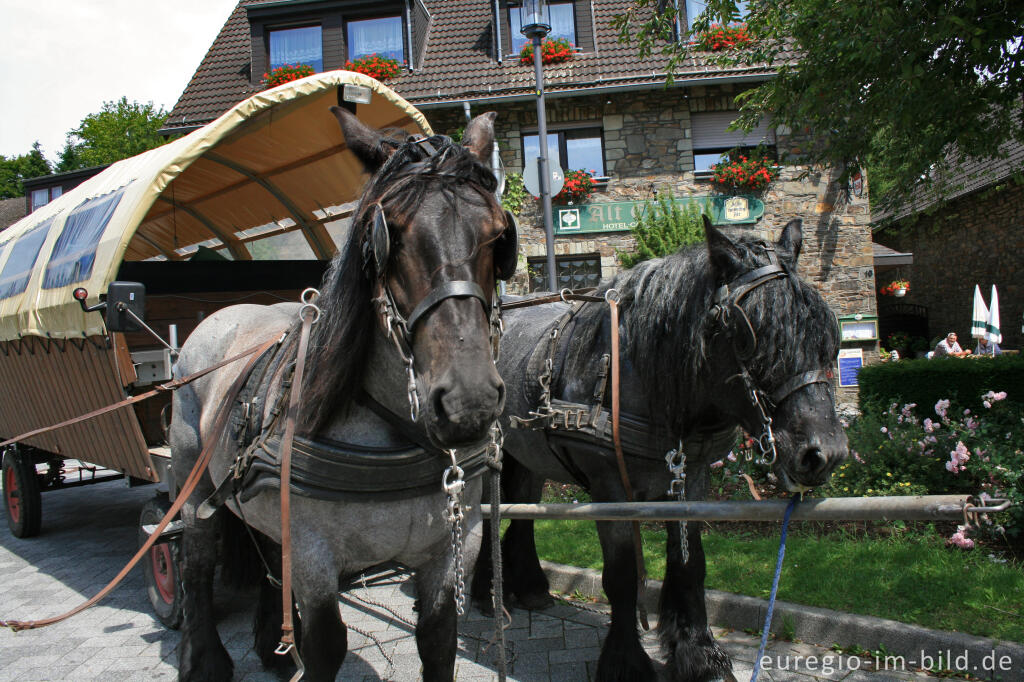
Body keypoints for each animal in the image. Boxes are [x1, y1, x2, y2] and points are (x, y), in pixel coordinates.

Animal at [173, 109, 520, 675]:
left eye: (497, 236)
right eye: (388, 235)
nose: (468, 403)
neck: (393, 430)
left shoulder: (454, 549)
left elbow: (439, 640)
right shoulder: (314, 556)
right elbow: (325, 646)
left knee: (269, 555)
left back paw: (271, 647)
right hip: (192, 480)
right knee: (196, 558)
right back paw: (203, 660)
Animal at [471, 218, 847, 679]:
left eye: (825, 333)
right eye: (752, 334)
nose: (825, 452)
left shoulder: (691, 477)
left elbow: (689, 564)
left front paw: (698, 655)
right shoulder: (610, 487)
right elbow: (621, 575)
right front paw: (625, 662)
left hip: (530, 453)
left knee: (523, 506)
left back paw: (530, 588)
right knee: (488, 513)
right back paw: (488, 594)